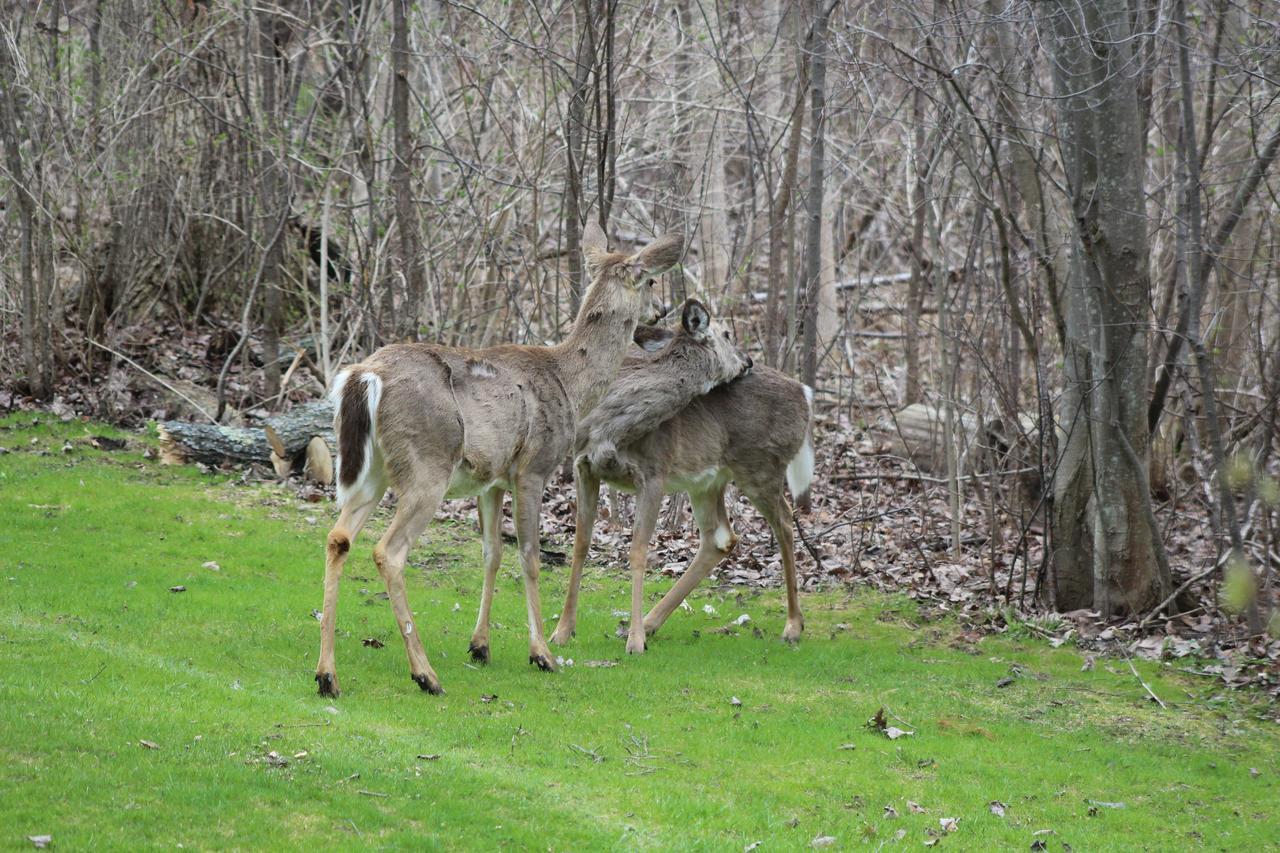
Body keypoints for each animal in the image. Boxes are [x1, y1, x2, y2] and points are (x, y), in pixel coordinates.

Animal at [314, 222, 686, 696]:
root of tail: (363, 376)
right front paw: (542, 653)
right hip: (426, 465)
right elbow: (529, 555)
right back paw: (425, 674)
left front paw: (480, 646)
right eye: (652, 281)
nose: (661, 312)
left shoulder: (490, 479)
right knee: (388, 550)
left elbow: (491, 552)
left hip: (372, 470)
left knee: (338, 537)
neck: (570, 383)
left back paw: (327, 676)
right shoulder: (534, 467)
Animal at [547, 318, 814, 650]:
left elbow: (638, 550)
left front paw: (634, 642)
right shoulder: (583, 466)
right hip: (708, 481)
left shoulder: (654, 472)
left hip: (760, 466)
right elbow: (581, 544)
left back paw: (793, 626)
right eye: (726, 334)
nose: (747, 361)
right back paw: (650, 622)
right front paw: (561, 631)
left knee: (785, 521)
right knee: (721, 537)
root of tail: (805, 393)